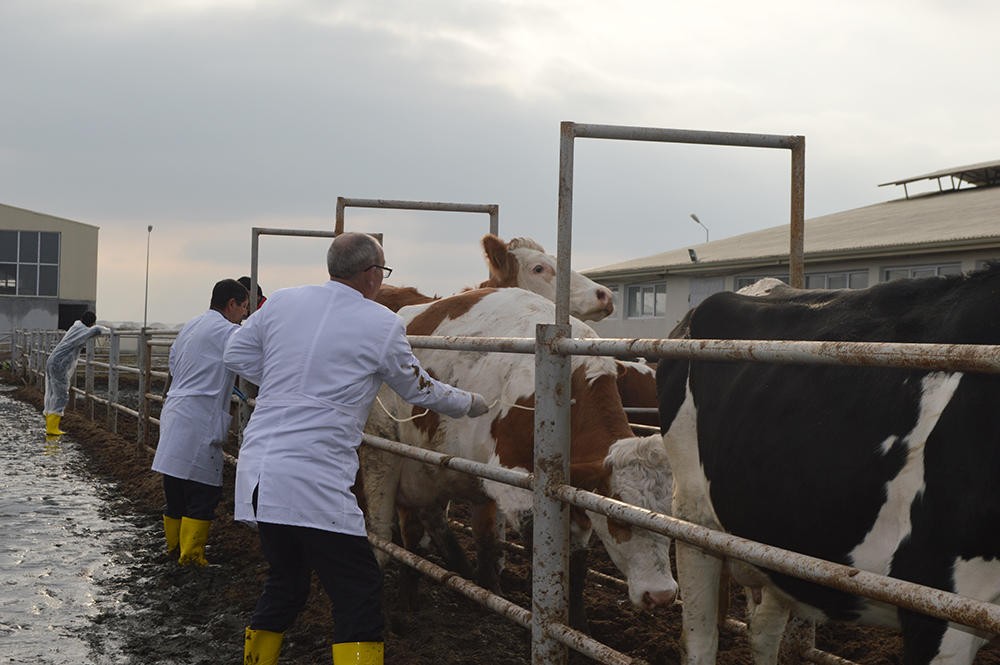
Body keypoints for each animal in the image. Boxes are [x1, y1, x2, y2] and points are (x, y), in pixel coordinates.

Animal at [364, 288, 676, 624]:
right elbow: (542, 543)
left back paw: (476, 581)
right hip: (385, 458)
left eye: (669, 518)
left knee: (443, 525)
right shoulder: (512, 480)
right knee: (395, 532)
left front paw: (577, 622)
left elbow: (577, 560)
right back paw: (406, 600)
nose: (661, 595)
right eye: (616, 518)